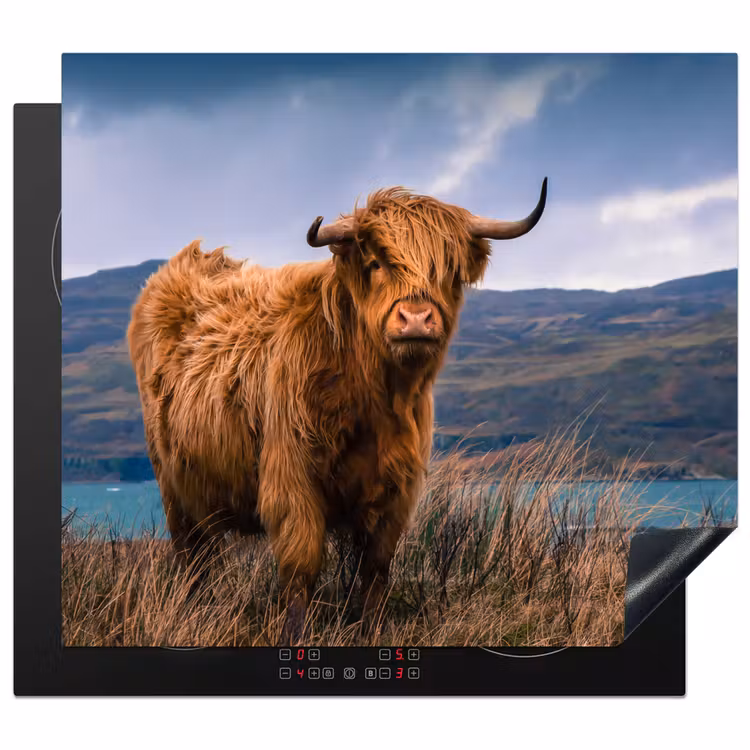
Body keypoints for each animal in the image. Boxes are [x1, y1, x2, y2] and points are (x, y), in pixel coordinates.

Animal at [127, 180, 547, 642]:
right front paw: (295, 636)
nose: (416, 319)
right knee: (191, 558)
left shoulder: (396, 491)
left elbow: (376, 570)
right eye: (376, 262)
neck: (374, 398)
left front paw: (372, 630)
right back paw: (192, 612)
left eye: (448, 269)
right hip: (173, 486)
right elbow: (300, 568)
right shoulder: (292, 480)